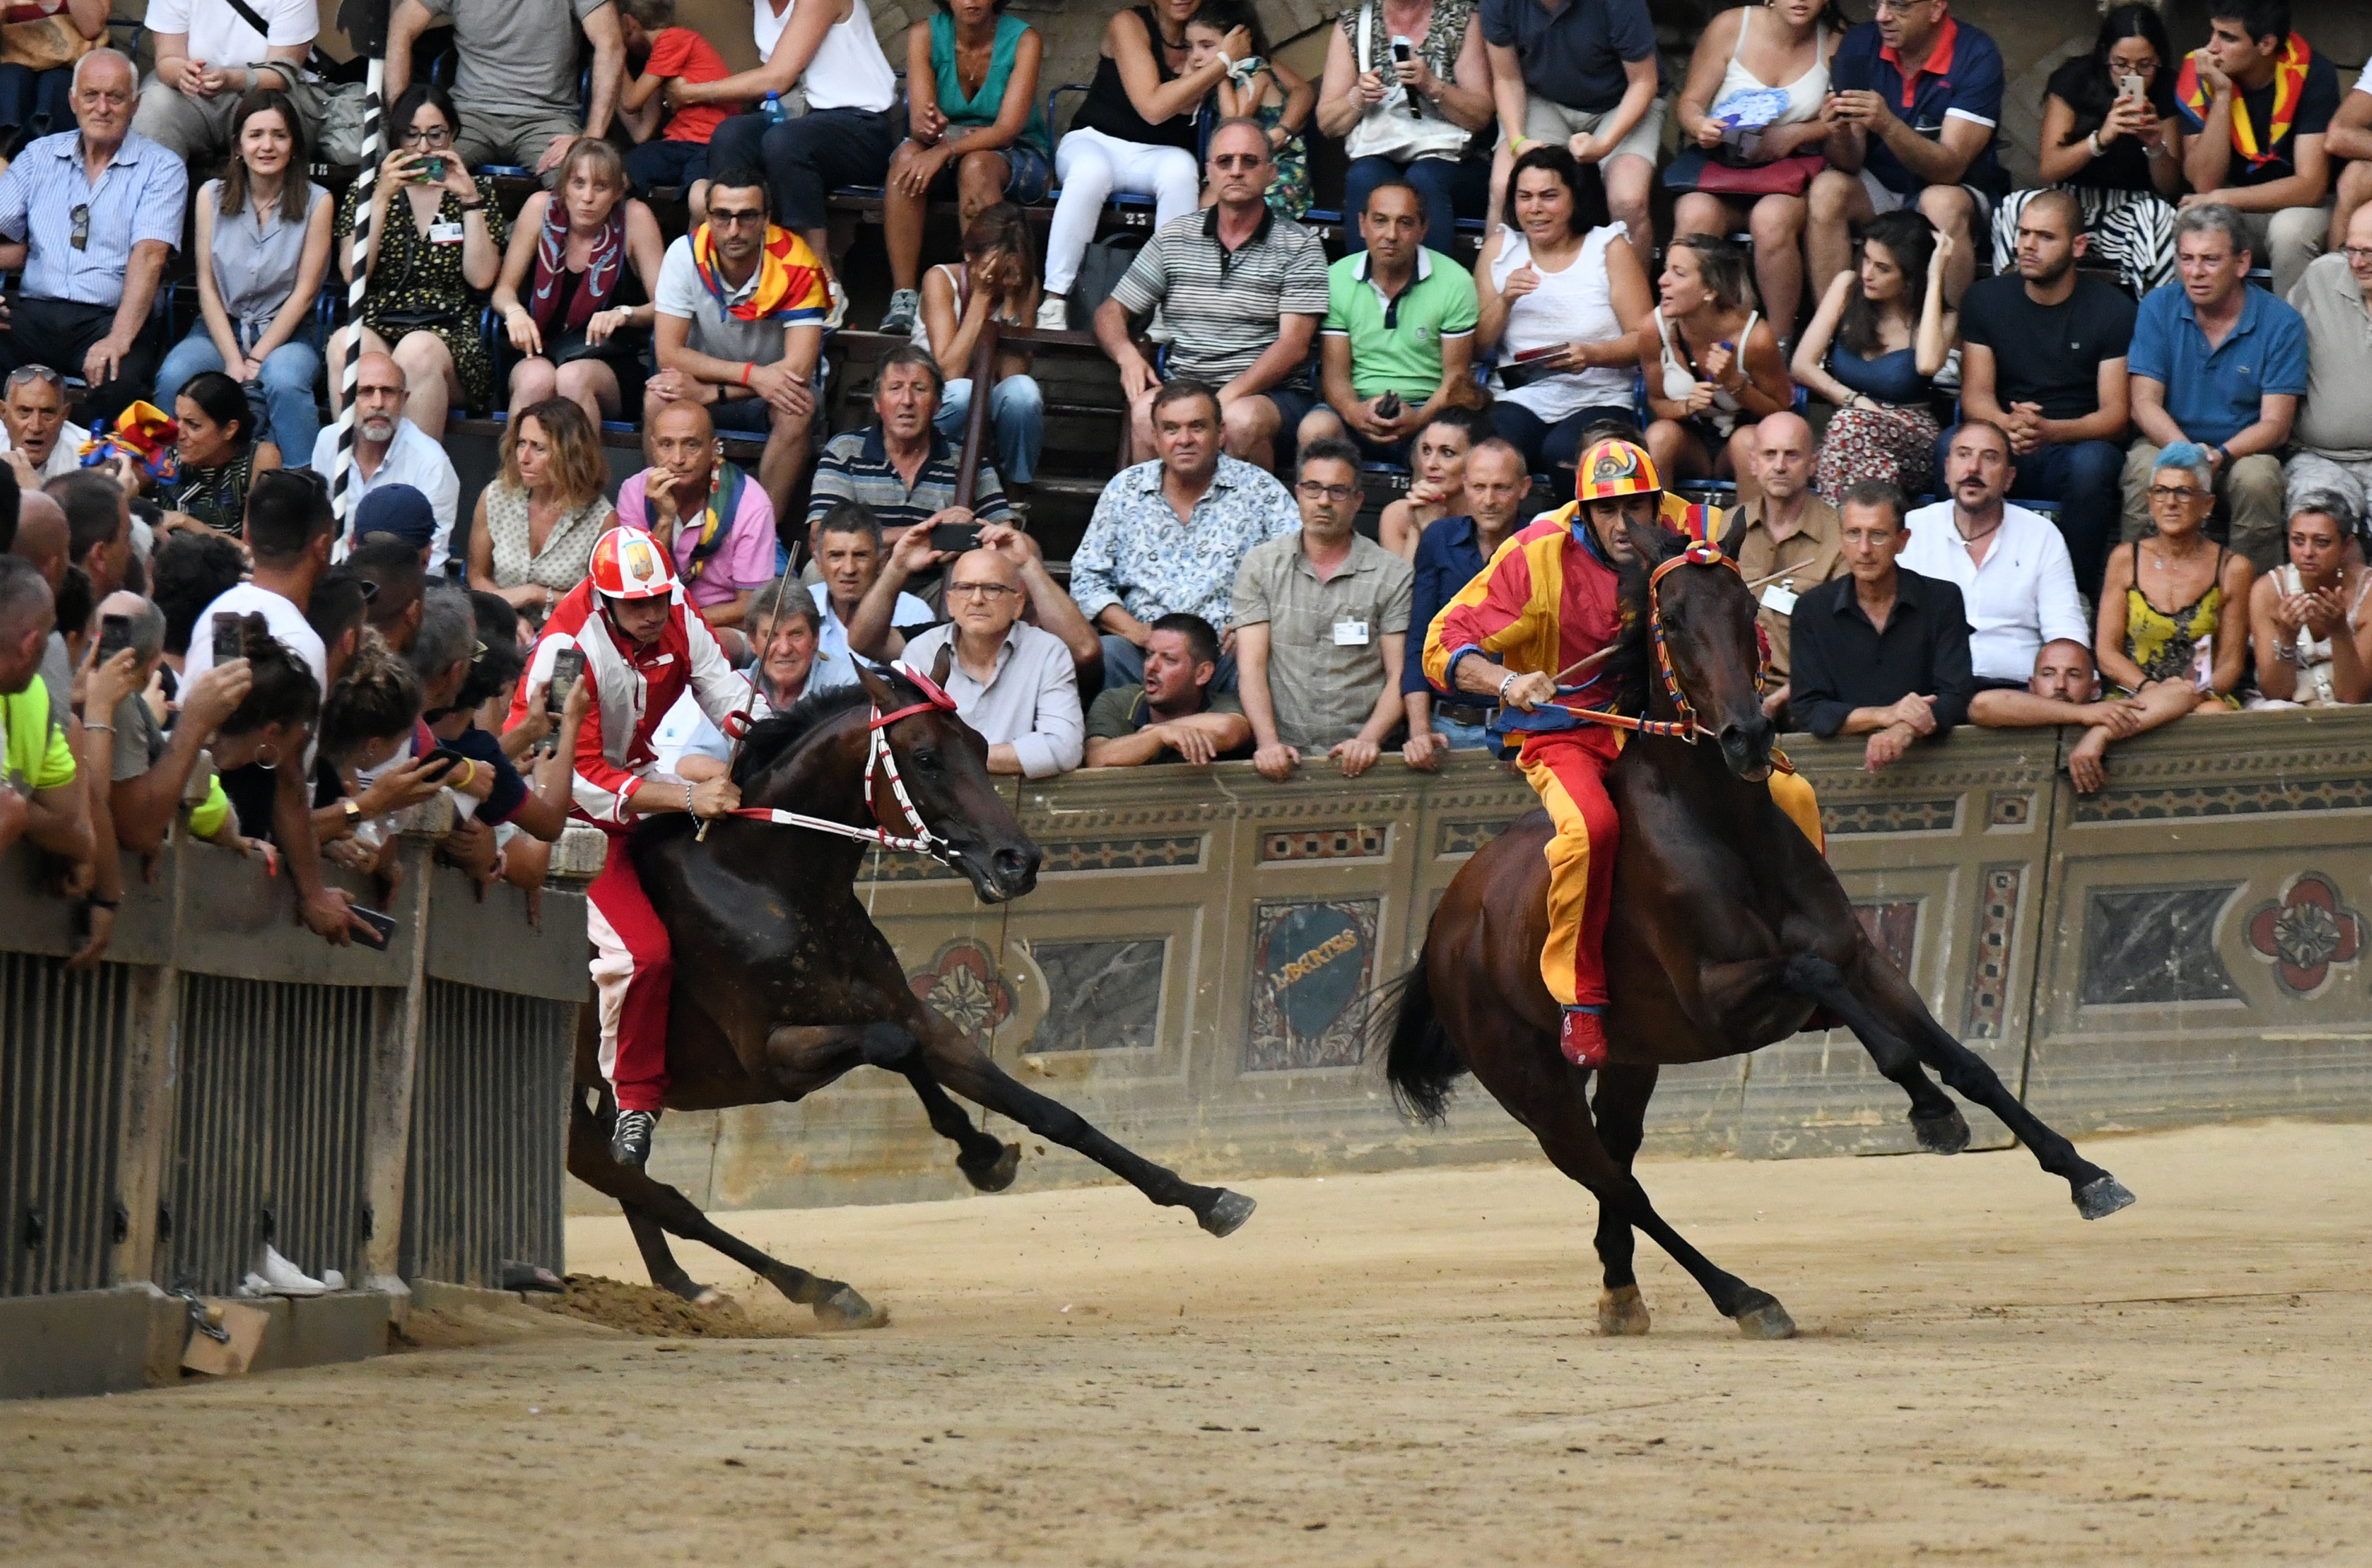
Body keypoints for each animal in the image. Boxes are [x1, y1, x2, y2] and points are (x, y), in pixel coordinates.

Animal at [566, 650, 1262, 1318]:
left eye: (981, 745)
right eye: (926, 757)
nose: (1020, 861)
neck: (765, 886)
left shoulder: (914, 1013)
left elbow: (1048, 1112)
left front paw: (1205, 1198)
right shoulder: (768, 1058)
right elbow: (892, 1047)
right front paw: (979, 1151)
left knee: (624, 1174)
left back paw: (686, 1285)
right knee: (642, 1186)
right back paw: (815, 1288)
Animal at [1376, 521, 2134, 1337]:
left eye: (1748, 610)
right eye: (1673, 619)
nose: (1746, 735)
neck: (1724, 830)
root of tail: (1447, 924)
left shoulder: (1862, 955)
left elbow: (1964, 1060)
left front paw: (2086, 1174)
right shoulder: (1719, 1001)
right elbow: (1830, 989)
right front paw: (1931, 1113)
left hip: (1630, 1061)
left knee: (1619, 1166)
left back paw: (1621, 1291)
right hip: (1531, 1082)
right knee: (1619, 1183)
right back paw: (1744, 1296)